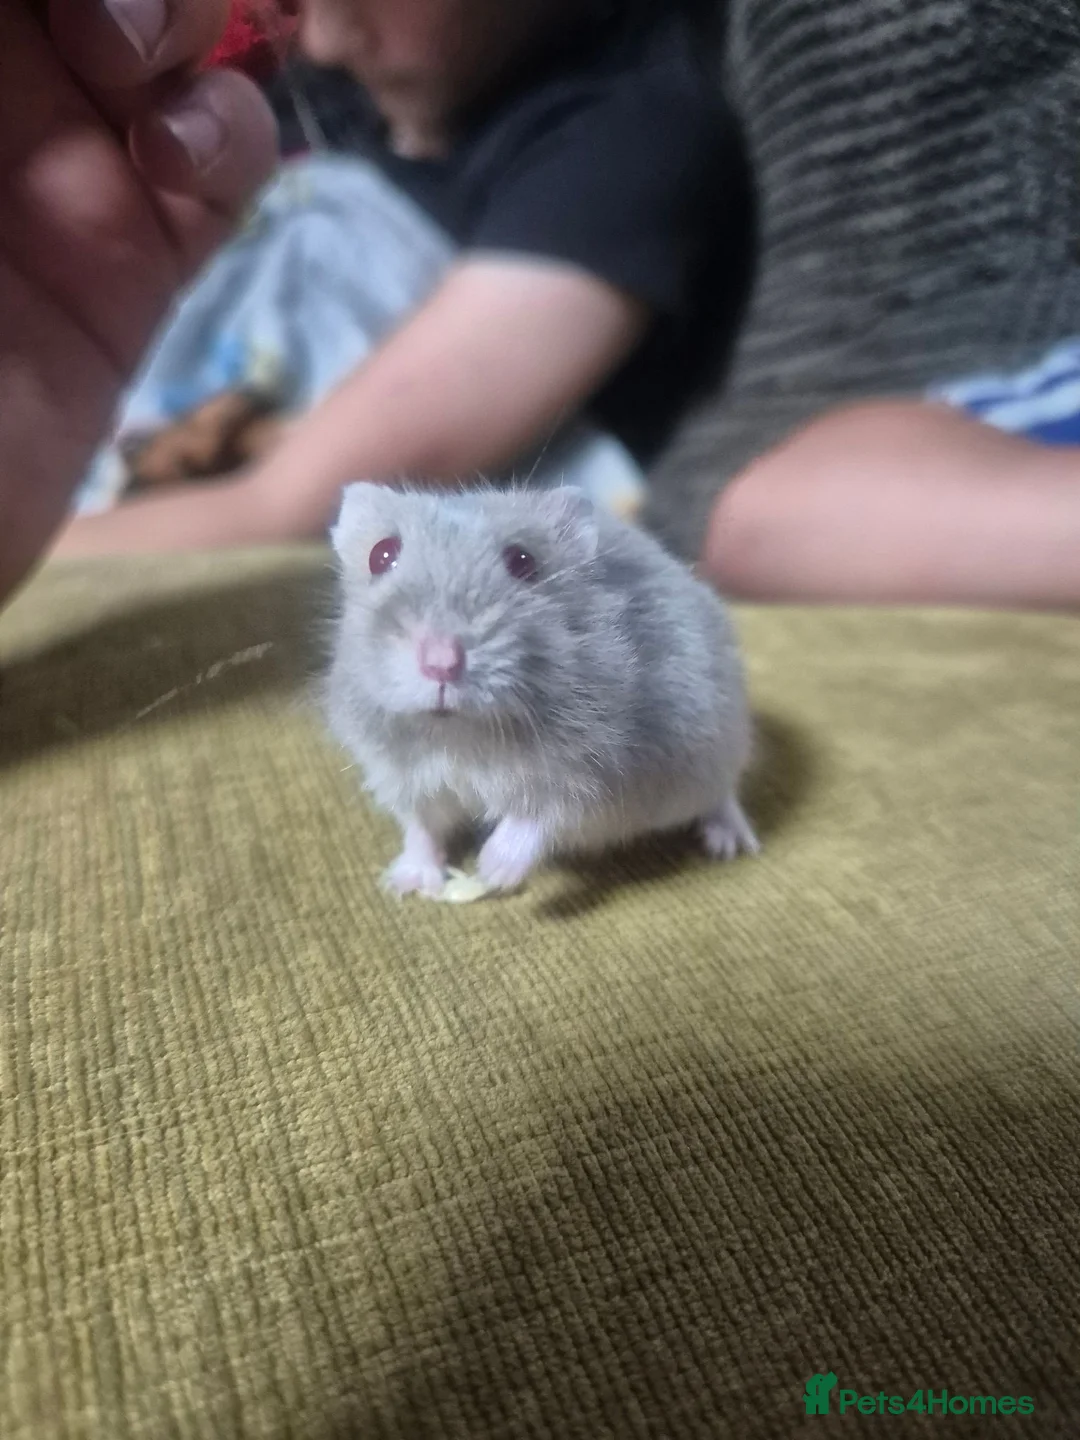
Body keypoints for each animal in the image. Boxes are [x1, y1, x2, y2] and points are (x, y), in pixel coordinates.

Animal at [324, 483, 759, 897]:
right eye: (381, 555)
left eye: (522, 561)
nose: (441, 662)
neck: (459, 733)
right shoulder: (403, 777)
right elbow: (421, 827)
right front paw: (406, 884)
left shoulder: (595, 776)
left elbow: (539, 816)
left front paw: (491, 870)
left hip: (712, 752)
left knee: (723, 796)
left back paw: (731, 844)